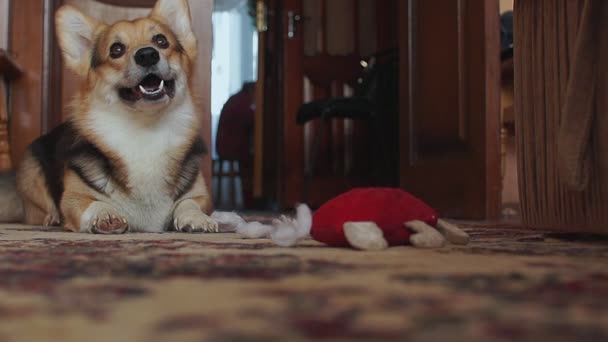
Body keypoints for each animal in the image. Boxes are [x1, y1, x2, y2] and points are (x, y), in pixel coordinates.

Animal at [0, 0, 218, 234]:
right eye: (116, 50)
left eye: (161, 41)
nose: (147, 55)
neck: (145, 128)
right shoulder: (73, 197)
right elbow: (93, 204)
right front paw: (105, 215)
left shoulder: (201, 194)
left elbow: (190, 203)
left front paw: (196, 218)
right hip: (33, 174)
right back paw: (51, 218)